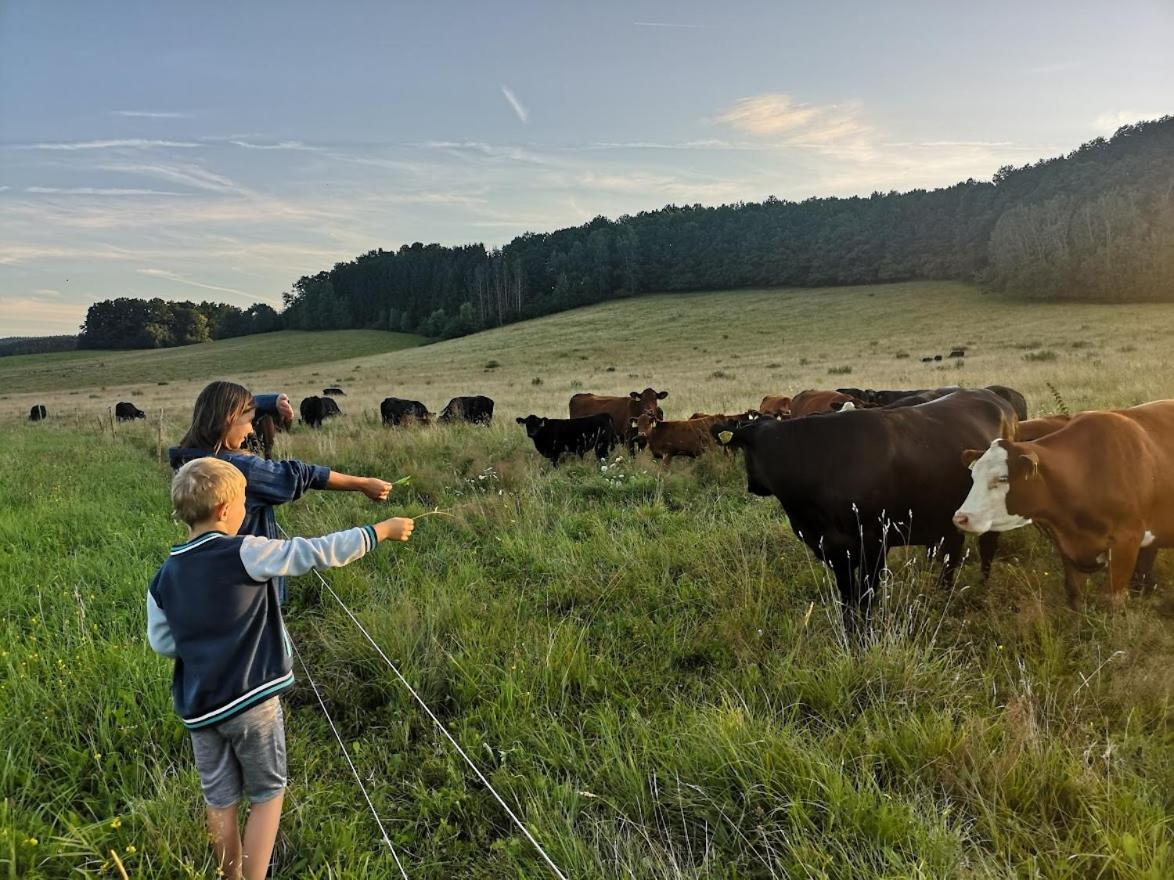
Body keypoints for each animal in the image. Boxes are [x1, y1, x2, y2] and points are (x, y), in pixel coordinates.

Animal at [713, 389, 1019, 628]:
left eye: (748, 452)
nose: (754, 486)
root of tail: (994, 398)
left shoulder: (874, 543)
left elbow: (866, 597)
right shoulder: (836, 551)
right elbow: (848, 599)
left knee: (987, 546)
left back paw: (982, 584)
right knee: (952, 552)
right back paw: (943, 592)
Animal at [953, 403, 1174, 610]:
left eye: (1002, 478)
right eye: (974, 475)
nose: (960, 518)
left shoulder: (1127, 541)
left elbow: (1111, 601)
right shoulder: (1067, 544)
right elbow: (1074, 592)